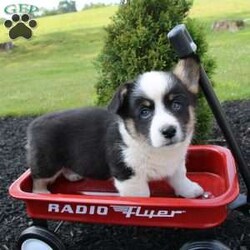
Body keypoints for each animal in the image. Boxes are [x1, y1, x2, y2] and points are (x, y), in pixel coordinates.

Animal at [27, 57, 203, 198]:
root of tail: (34, 123)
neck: (153, 148)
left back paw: (72, 175)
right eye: (144, 112)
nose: (169, 131)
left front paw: (190, 191)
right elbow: (142, 196)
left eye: (176, 105)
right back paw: (41, 194)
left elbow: (180, 177)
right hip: (47, 163)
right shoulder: (129, 176)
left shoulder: (175, 164)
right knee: (38, 179)